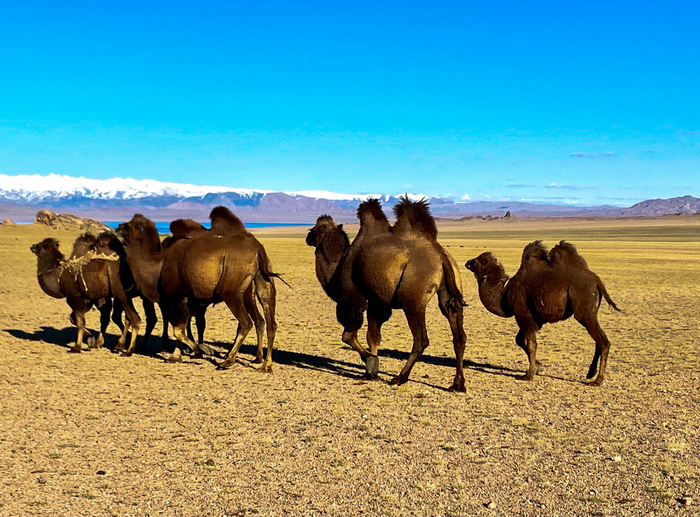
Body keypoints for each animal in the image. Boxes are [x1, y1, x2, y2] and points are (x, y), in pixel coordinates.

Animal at [116, 207, 279, 371]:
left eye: (130, 226)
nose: (117, 227)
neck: (158, 266)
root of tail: (257, 248)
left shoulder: (175, 297)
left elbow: (178, 330)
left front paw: (197, 352)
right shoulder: (187, 300)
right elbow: (182, 327)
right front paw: (176, 356)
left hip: (231, 292)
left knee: (246, 323)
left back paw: (228, 361)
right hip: (262, 283)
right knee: (267, 321)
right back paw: (264, 364)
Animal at [307, 197, 468, 392]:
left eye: (314, 229)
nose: (307, 237)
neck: (336, 270)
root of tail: (442, 256)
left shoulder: (352, 296)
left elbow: (348, 335)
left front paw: (370, 363)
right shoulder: (377, 301)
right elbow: (373, 337)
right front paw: (371, 372)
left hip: (413, 300)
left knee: (421, 339)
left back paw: (400, 378)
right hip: (450, 292)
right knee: (458, 334)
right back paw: (457, 384)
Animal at [465, 240, 621, 386]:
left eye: (482, 261)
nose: (468, 262)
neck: (505, 293)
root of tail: (597, 281)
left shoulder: (523, 315)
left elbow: (531, 344)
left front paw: (528, 374)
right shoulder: (536, 319)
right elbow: (520, 340)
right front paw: (538, 367)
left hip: (585, 313)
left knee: (603, 342)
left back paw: (598, 380)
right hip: (591, 313)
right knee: (600, 340)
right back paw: (590, 374)